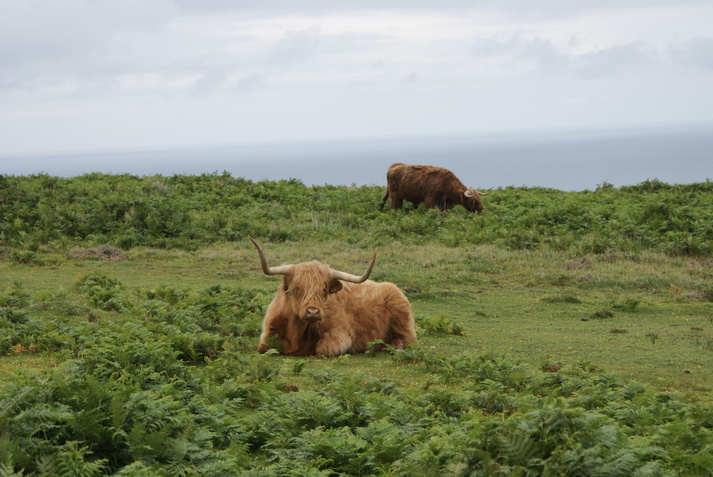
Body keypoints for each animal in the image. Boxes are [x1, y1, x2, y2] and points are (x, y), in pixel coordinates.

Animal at [250, 236, 418, 356]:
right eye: (297, 288)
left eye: (324, 289)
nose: (313, 312)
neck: (295, 333)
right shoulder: (267, 335)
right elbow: (265, 347)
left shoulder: (341, 334)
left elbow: (323, 349)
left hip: (401, 316)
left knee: (407, 339)